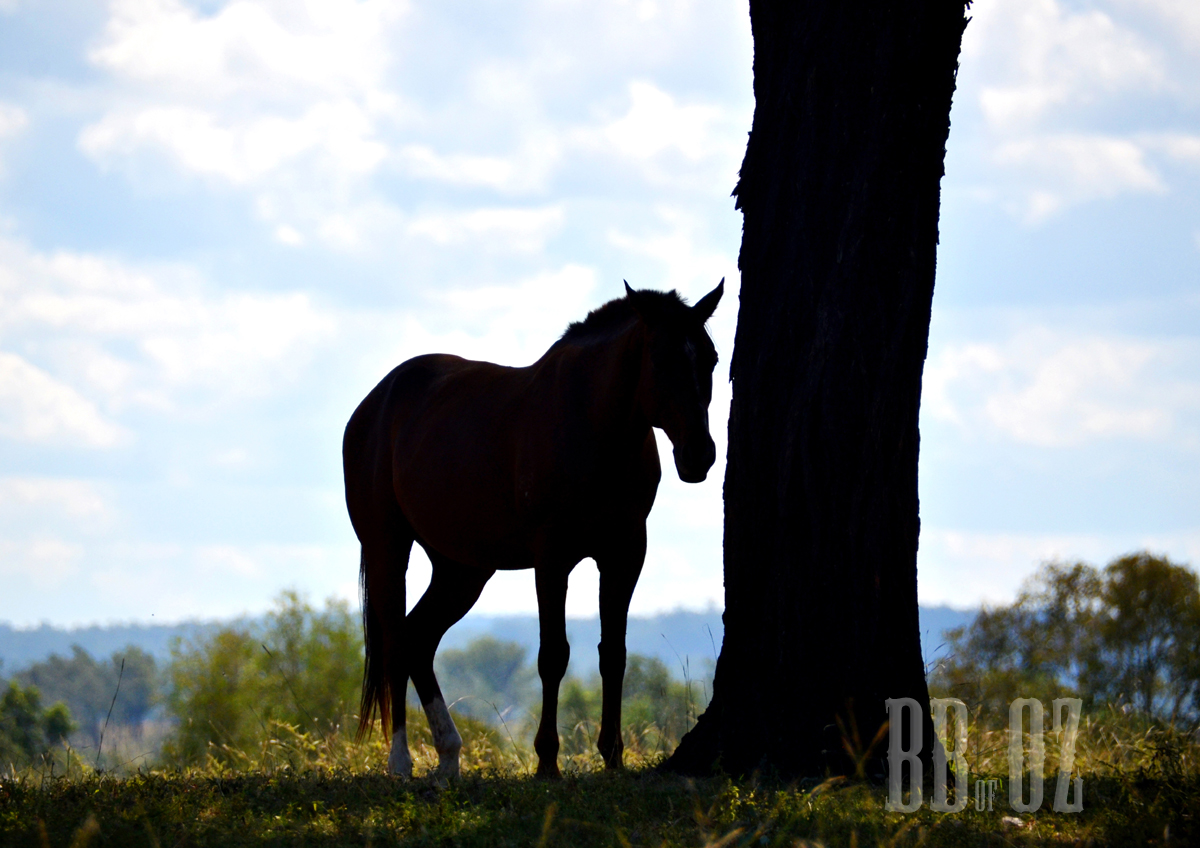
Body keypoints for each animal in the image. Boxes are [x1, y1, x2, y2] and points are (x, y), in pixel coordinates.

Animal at [342, 279, 723, 779]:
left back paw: (449, 757)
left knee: (419, 638)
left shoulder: (624, 553)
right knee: (396, 640)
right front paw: (547, 763)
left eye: (711, 359)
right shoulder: (552, 557)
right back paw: (402, 761)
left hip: (462, 569)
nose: (700, 455)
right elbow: (553, 655)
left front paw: (613, 758)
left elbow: (613, 654)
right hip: (388, 546)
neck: (591, 424)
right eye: (660, 360)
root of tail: (374, 405)